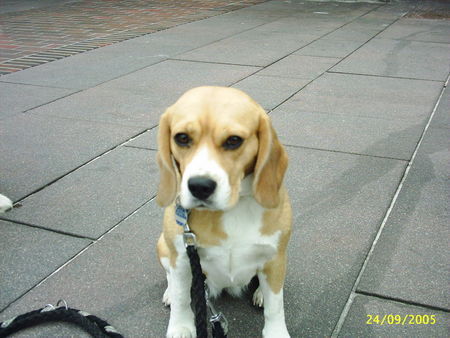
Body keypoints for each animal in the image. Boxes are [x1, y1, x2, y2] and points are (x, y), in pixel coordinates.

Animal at [156, 86, 292, 336]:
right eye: (182, 138)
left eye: (233, 140)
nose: (200, 186)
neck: (233, 209)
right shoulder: (182, 257)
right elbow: (181, 298)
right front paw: (181, 326)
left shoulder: (276, 257)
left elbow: (276, 306)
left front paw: (276, 332)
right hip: (162, 245)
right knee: (173, 279)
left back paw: (260, 293)